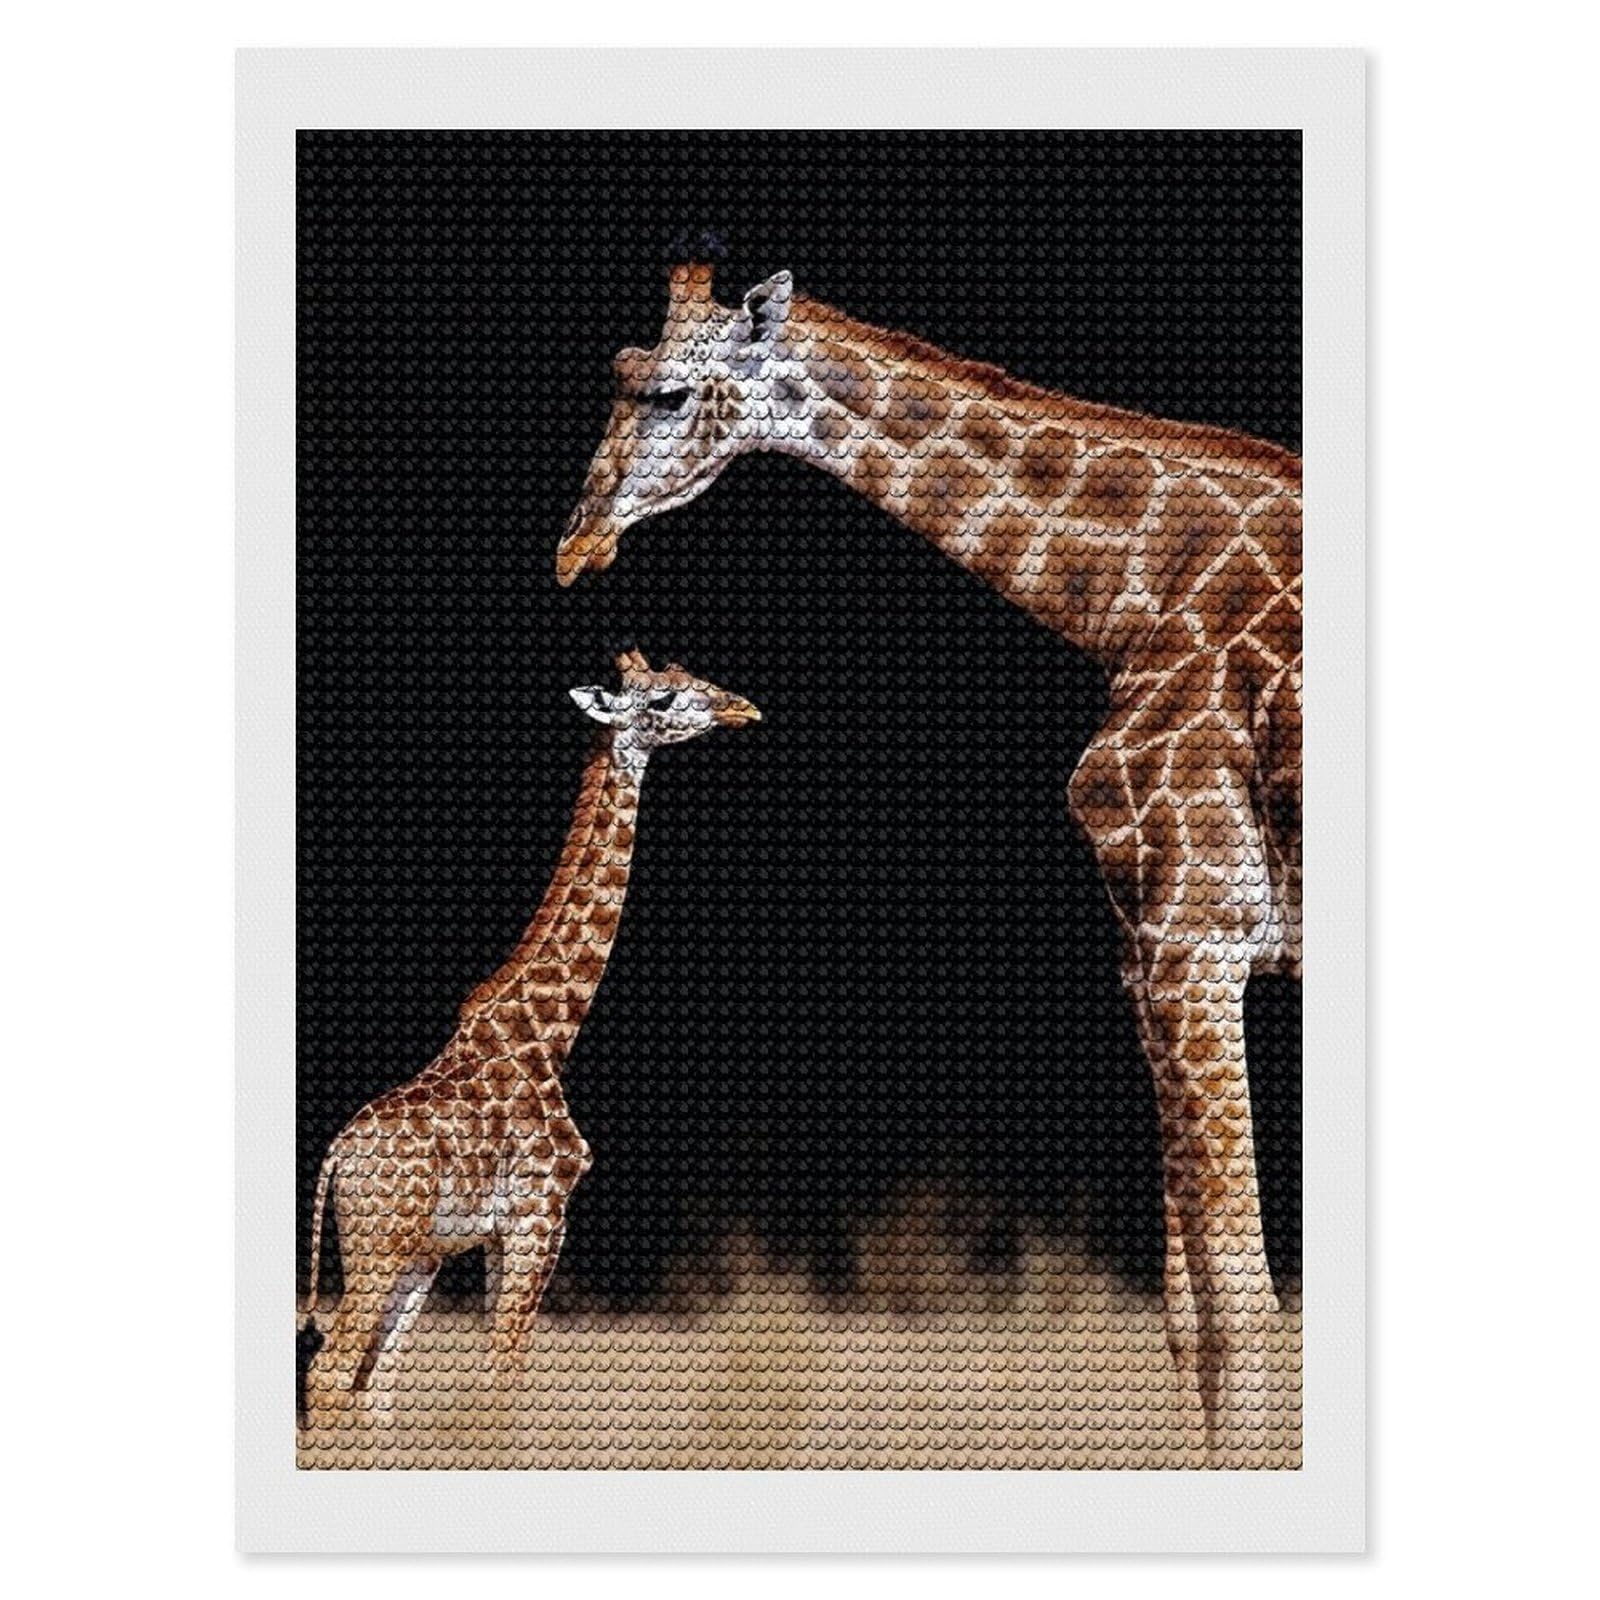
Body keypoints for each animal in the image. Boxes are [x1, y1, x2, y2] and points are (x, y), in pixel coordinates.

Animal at [298, 650, 761, 1422]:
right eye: (664, 699)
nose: (743, 708)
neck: (550, 1035)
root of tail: (336, 1157)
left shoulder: (487, 1233)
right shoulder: (539, 1216)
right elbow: (506, 1377)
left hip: (415, 1254)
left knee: (374, 1386)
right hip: (378, 1246)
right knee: (331, 1374)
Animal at [556, 253, 1301, 1457]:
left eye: (666, 393)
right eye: (615, 375)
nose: (573, 545)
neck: (1133, 594)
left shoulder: (1197, 935)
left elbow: (1238, 1311)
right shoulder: (1151, 955)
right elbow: (1191, 1316)